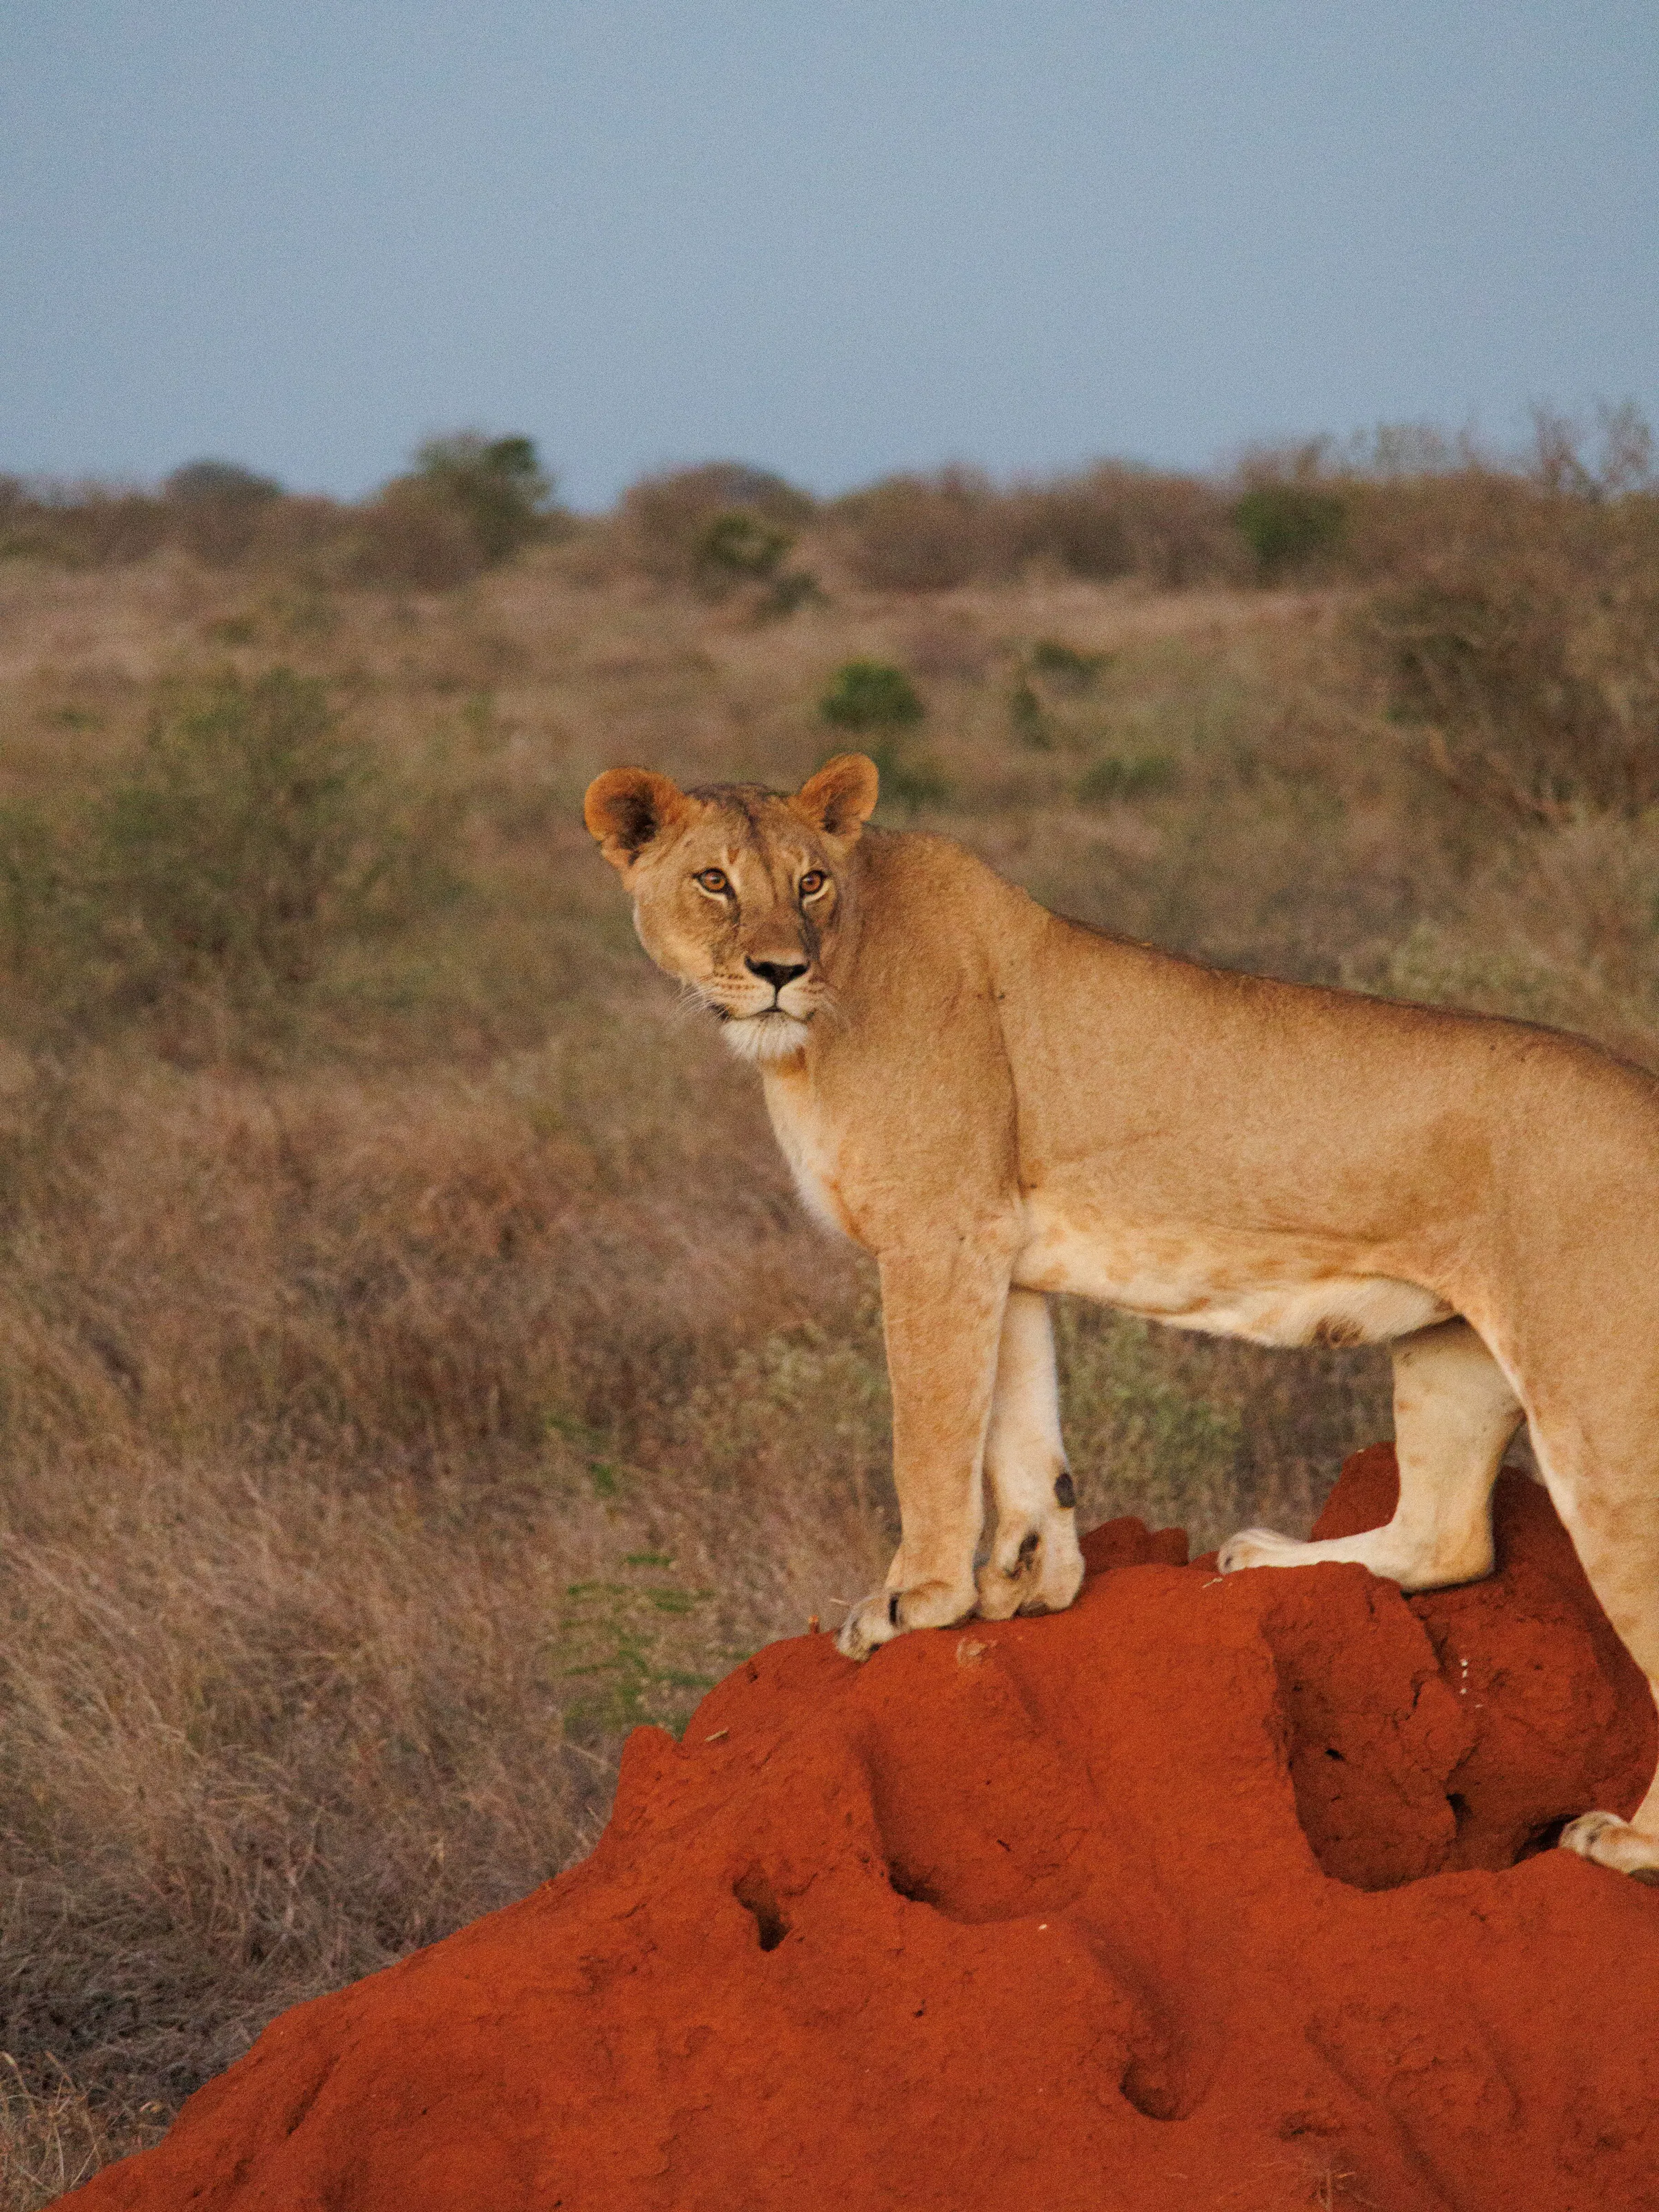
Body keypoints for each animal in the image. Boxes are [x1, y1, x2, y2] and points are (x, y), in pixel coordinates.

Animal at [585, 751, 1659, 1883]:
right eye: (713, 880)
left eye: (811, 882)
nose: (780, 970)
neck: (808, 1034)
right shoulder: (998, 1251)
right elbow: (1021, 1438)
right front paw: (1031, 1583)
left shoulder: (938, 1236)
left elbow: (929, 1437)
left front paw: (916, 1601)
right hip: (1450, 1353)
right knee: (1449, 1538)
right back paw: (1262, 1559)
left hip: (1600, 1416)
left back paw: (1626, 1841)